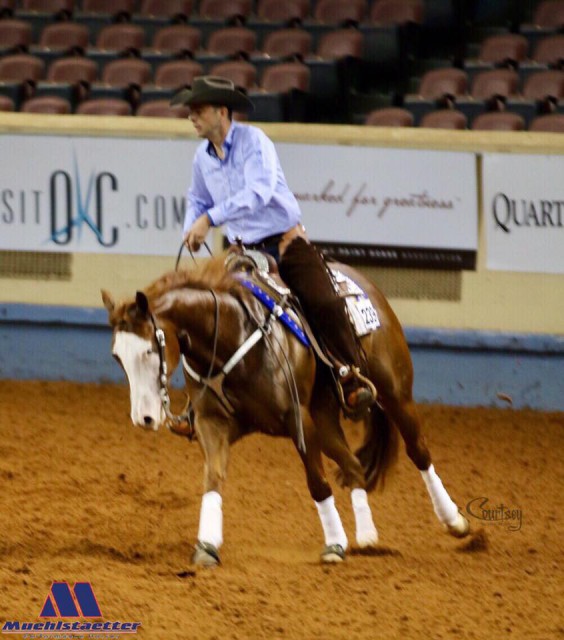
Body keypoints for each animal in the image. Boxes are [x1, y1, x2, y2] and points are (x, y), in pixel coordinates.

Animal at [100, 255, 468, 564]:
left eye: (149, 350)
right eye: (117, 356)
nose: (144, 418)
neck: (232, 336)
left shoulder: (298, 419)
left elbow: (317, 482)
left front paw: (334, 544)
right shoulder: (212, 422)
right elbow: (213, 478)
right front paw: (206, 545)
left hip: (394, 392)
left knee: (418, 451)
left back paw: (455, 521)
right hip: (325, 418)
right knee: (353, 466)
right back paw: (366, 536)